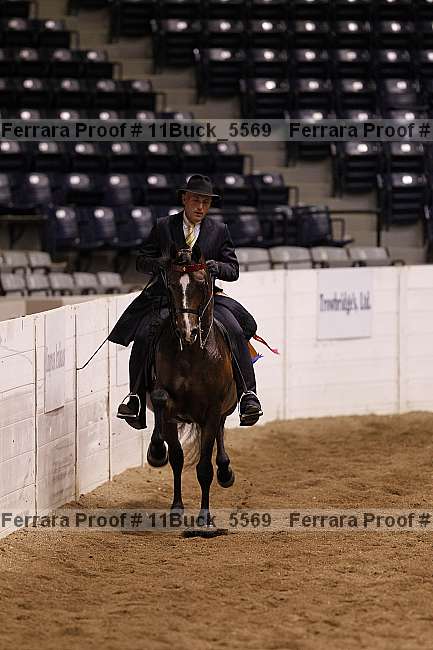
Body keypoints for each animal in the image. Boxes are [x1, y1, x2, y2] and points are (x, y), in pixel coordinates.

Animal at [145, 243, 238, 524]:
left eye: (202, 284)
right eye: (171, 285)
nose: (188, 332)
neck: (191, 354)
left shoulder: (212, 411)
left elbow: (205, 467)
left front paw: (205, 516)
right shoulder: (170, 410)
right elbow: (176, 457)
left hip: (223, 409)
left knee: (220, 434)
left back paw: (226, 471)